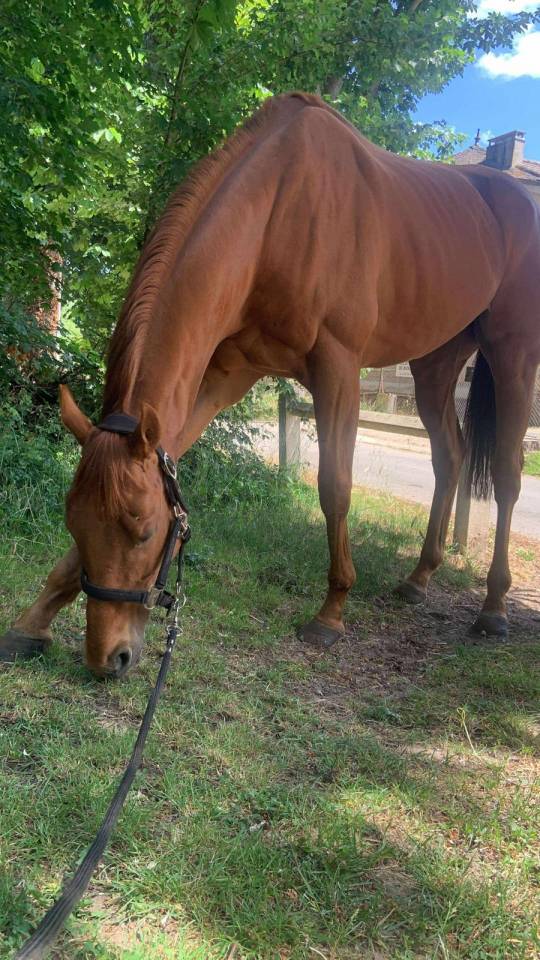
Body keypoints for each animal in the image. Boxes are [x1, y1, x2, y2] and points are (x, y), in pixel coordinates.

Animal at [1, 92, 539, 677]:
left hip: (512, 354)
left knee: (507, 474)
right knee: (450, 458)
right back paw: (419, 578)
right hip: (436, 364)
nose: (109, 657)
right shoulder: (227, 375)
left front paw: (330, 613)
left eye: (143, 532)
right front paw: (35, 619)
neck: (281, 211)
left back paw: (493, 607)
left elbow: (335, 486)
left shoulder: (337, 367)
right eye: (74, 523)